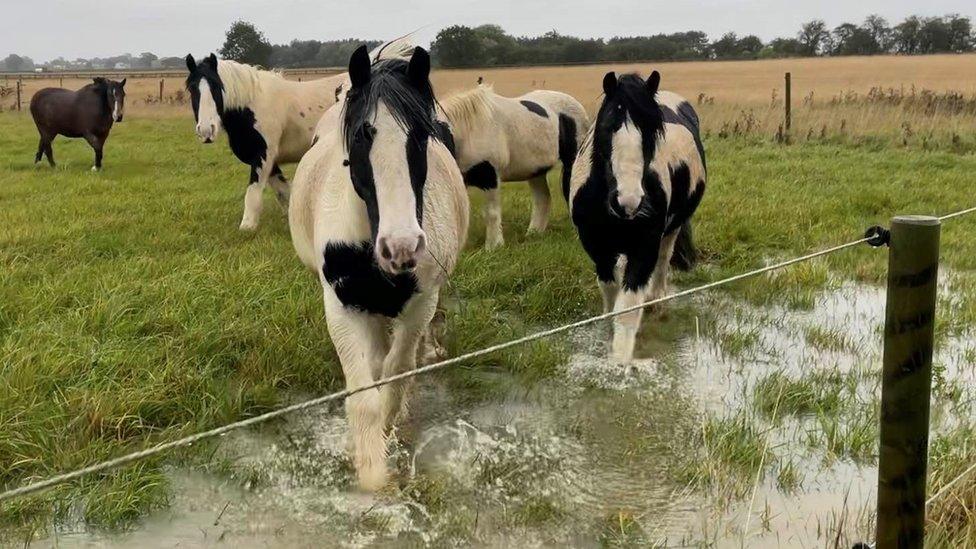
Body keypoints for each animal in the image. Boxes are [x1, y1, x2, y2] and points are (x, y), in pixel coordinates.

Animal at [185, 39, 414, 229]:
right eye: (191, 89)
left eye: (217, 87)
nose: (206, 130)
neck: (252, 105)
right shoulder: (268, 161)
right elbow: (284, 192)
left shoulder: (262, 157)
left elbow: (253, 194)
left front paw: (247, 227)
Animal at [288, 44, 468, 488]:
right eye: (359, 135)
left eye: (422, 135)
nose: (401, 246)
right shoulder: (343, 307)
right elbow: (365, 396)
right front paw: (371, 478)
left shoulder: (420, 304)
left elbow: (394, 377)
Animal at [440, 84, 588, 247]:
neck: (467, 132)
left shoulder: (490, 176)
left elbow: (491, 213)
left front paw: (494, 246)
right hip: (536, 170)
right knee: (543, 198)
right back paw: (533, 234)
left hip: (572, 162)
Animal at [568, 71, 704, 364]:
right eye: (607, 127)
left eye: (653, 131)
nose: (628, 202)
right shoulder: (598, 248)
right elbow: (611, 297)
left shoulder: (644, 248)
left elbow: (628, 308)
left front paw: (620, 363)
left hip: (672, 229)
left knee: (664, 260)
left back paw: (656, 300)